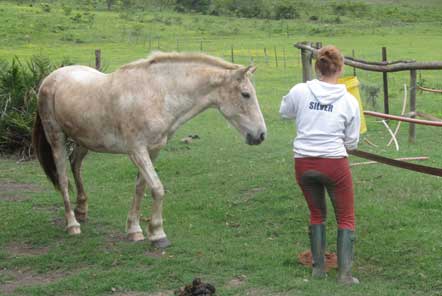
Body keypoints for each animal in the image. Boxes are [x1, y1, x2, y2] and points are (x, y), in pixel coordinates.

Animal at [32, 52, 268, 247]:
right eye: (246, 94)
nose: (261, 135)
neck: (157, 94)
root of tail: (50, 78)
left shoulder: (153, 151)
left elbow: (141, 188)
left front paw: (134, 230)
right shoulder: (137, 151)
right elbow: (157, 188)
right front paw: (158, 234)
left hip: (84, 141)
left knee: (75, 164)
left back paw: (81, 210)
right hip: (57, 138)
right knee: (63, 178)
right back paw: (73, 224)